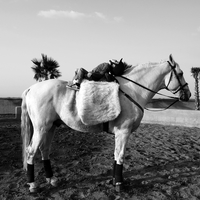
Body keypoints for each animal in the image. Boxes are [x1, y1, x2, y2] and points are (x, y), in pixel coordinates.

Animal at [21, 54, 191, 192]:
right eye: (181, 73)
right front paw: (119, 185)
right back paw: (33, 185)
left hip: (50, 127)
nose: (188, 94)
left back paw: (51, 179)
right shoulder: (123, 132)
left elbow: (116, 156)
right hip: (41, 128)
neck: (132, 90)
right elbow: (120, 156)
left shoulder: (120, 133)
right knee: (31, 152)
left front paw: (115, 181)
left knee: (44, 150)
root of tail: (31, 88)